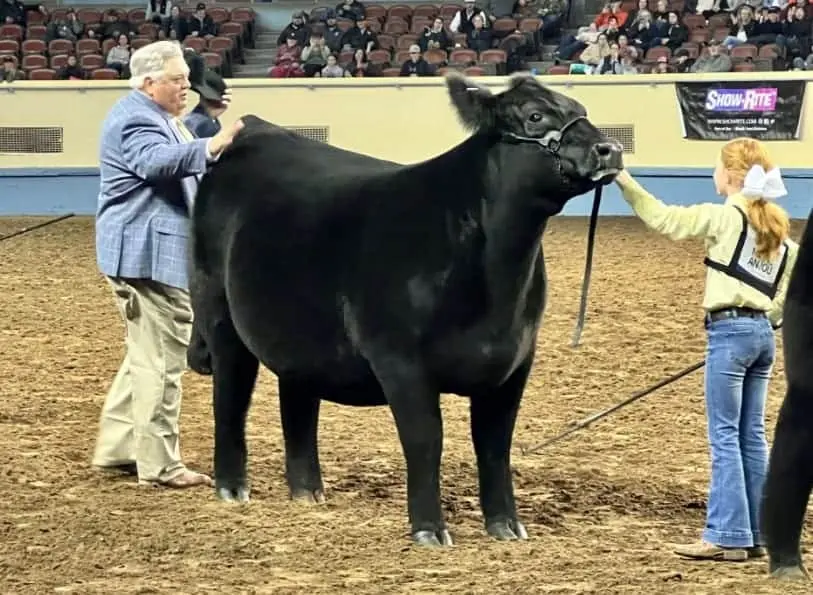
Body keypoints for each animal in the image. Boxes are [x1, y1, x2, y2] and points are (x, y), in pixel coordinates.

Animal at [186, 72, 625, 547]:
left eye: (578, 108)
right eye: (535, 115)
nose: (610, 149)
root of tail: (255, 130)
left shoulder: (516, 361)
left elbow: (494, 444)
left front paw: (506, 526)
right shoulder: (400, 360)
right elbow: (425, 440)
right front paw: (429, 530)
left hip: (298, 332)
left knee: (298, 400)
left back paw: (307, 492)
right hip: (219, 315)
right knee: (230, 397)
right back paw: (231, 487)